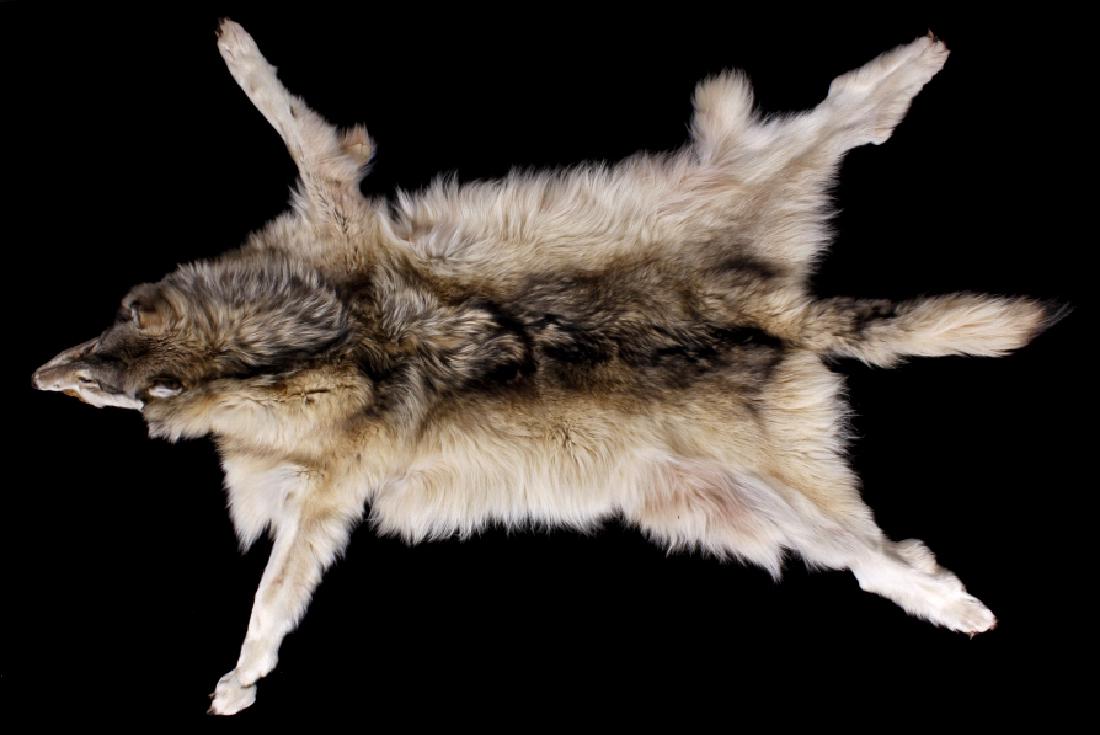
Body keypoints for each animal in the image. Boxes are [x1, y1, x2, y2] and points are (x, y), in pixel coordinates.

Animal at [32, 20, 1057, 715]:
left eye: (113, 375)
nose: (43, 375)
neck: (302, 349)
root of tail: (778, 321)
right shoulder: (331, 487)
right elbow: (280, 590)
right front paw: (245, 673)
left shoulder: (332, 214)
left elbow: (282, 113)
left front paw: (240, 676)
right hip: (753, 488)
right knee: (876, 555)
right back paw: (949, 599)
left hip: (748, 224)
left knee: (850, 111)